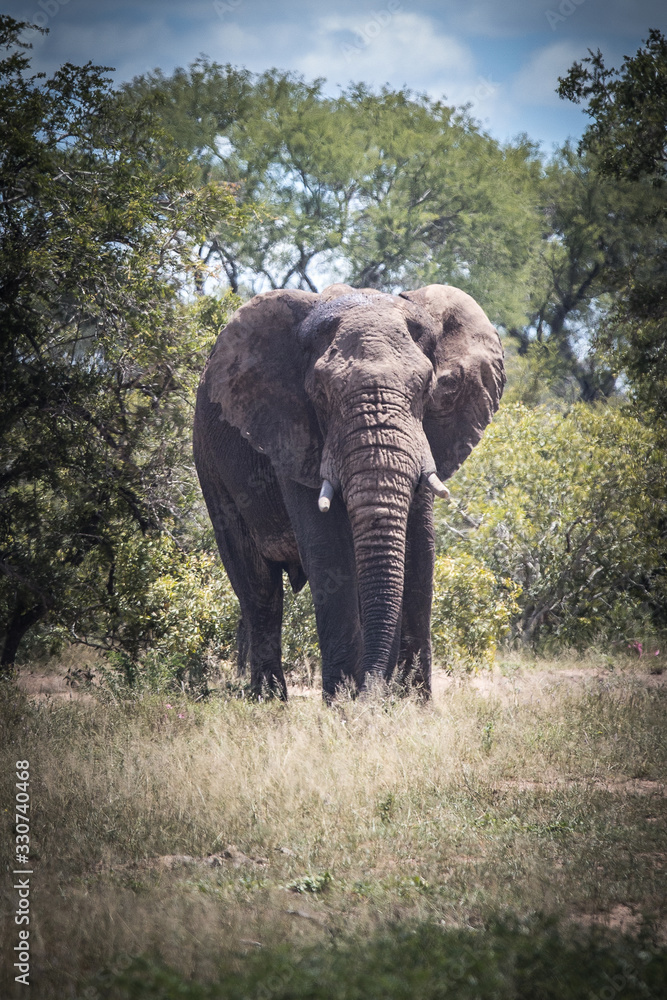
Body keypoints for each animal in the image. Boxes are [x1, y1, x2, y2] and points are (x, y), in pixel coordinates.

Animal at [193, 283, 505, 701]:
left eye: (426, 387)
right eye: (321, 394)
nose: (375, 694)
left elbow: (420, 549)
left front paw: (413, 703)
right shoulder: (291, 433)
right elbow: (330, 551)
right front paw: (344, 702)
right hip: (209, 464)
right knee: (259, 588)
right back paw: (269, 700)